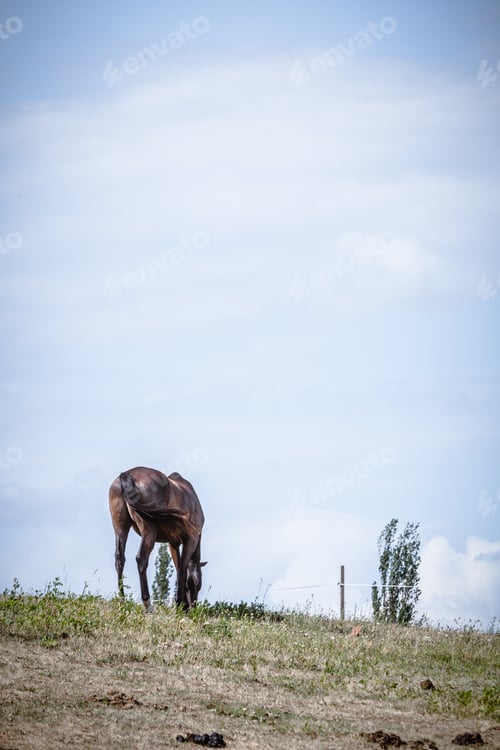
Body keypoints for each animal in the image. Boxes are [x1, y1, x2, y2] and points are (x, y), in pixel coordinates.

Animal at [108, 466, 206, 610]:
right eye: (198, 586)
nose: (192, 608)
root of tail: (126, 475)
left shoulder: (173, 543)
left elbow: (178, 570)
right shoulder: (191, 540)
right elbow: (183, 571)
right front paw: (180, 606)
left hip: (120, 528)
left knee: (119, 559)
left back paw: (122, 602)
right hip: (149, 529)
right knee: (141, 559)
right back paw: (148, 605)